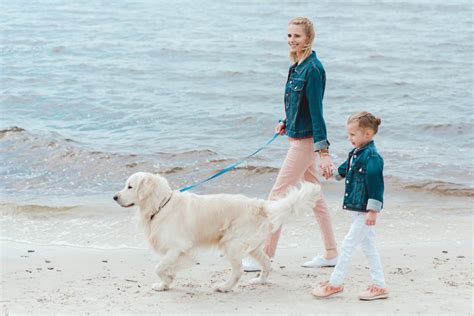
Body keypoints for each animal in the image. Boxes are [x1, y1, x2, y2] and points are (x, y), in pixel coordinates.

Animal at [113, 172, 320, 292]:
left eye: (130, 186)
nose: (114, 197)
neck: (160, 205)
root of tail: (259, 205)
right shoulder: (183, 251)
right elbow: (168, 267)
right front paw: (166, 283)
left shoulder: (178, 247)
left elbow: (158, 267)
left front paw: (166, 279)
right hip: (253, 247)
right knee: (267, 263)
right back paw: (259, 281)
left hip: (230, 243)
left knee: (238, 270)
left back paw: (224, 287)